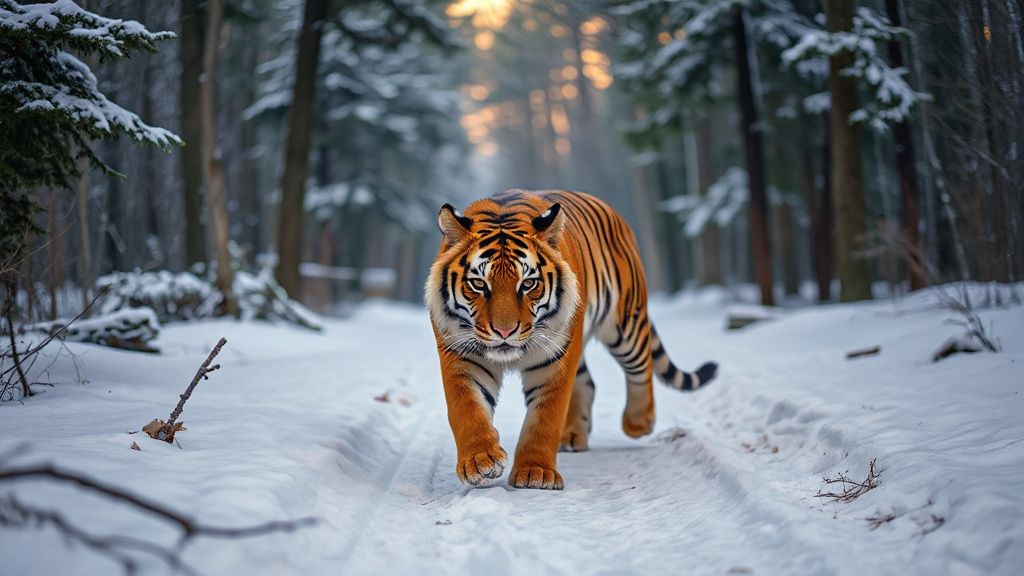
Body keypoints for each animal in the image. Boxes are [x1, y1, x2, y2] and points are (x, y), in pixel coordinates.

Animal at [425, 189, 718, 490]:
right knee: (587, 382)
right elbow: (466, 408)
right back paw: (574, 436)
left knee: (641, 365)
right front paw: (480, 461)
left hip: (624, 324)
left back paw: (638, 422)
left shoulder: (554, 359)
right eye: (478, 284)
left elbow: (545, 417)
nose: (504, 332)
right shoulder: (461, 355)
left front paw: (535, 473)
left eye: (528, 284)